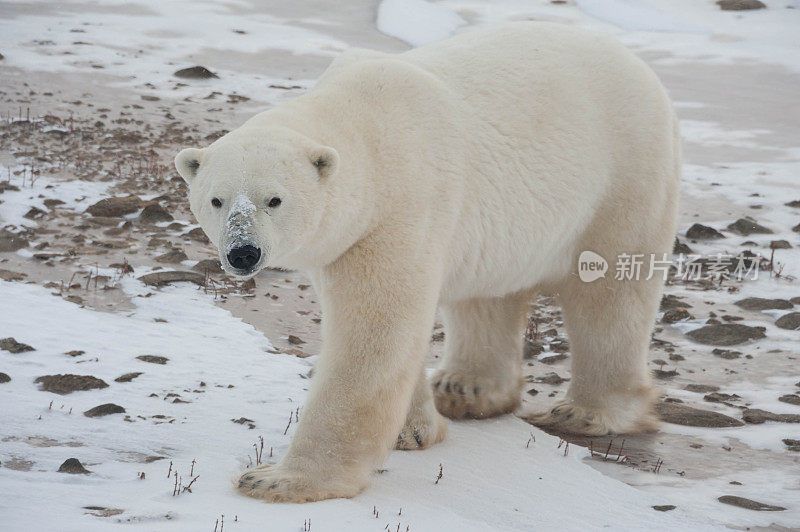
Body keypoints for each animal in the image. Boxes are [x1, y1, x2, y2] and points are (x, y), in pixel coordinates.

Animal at [177, 21, 680, 502]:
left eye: (274, 200)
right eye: (217, 200)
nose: (243, 252)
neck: (367, 126)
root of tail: (636, 63)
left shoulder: (396, 212)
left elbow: (373, 335)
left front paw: (277, 480)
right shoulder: (348, 240)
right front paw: (413, 430)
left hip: (623, 173)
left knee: (611, 295)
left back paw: (588, 412)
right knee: (487, 295)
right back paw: (465, 388)